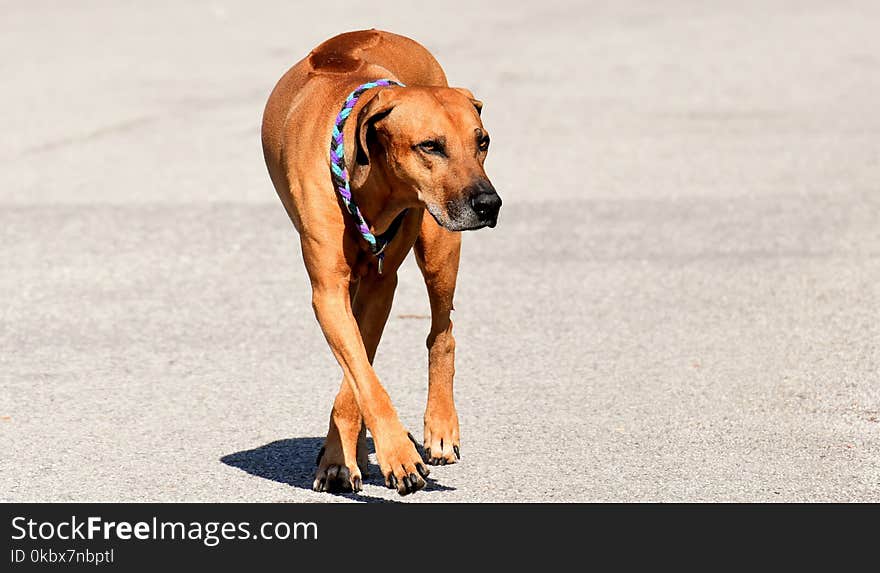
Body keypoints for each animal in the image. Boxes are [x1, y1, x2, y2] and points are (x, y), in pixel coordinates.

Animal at [260, 30, 502, 492]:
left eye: (482, 142)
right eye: (430, 146)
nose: (489, 204)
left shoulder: (380, 285)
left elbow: (358, 378)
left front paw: (347, 455)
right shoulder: (329, 292)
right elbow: (362, 376)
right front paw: (355, 458)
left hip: (440, 246)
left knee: (442, 333)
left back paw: (440, 428)